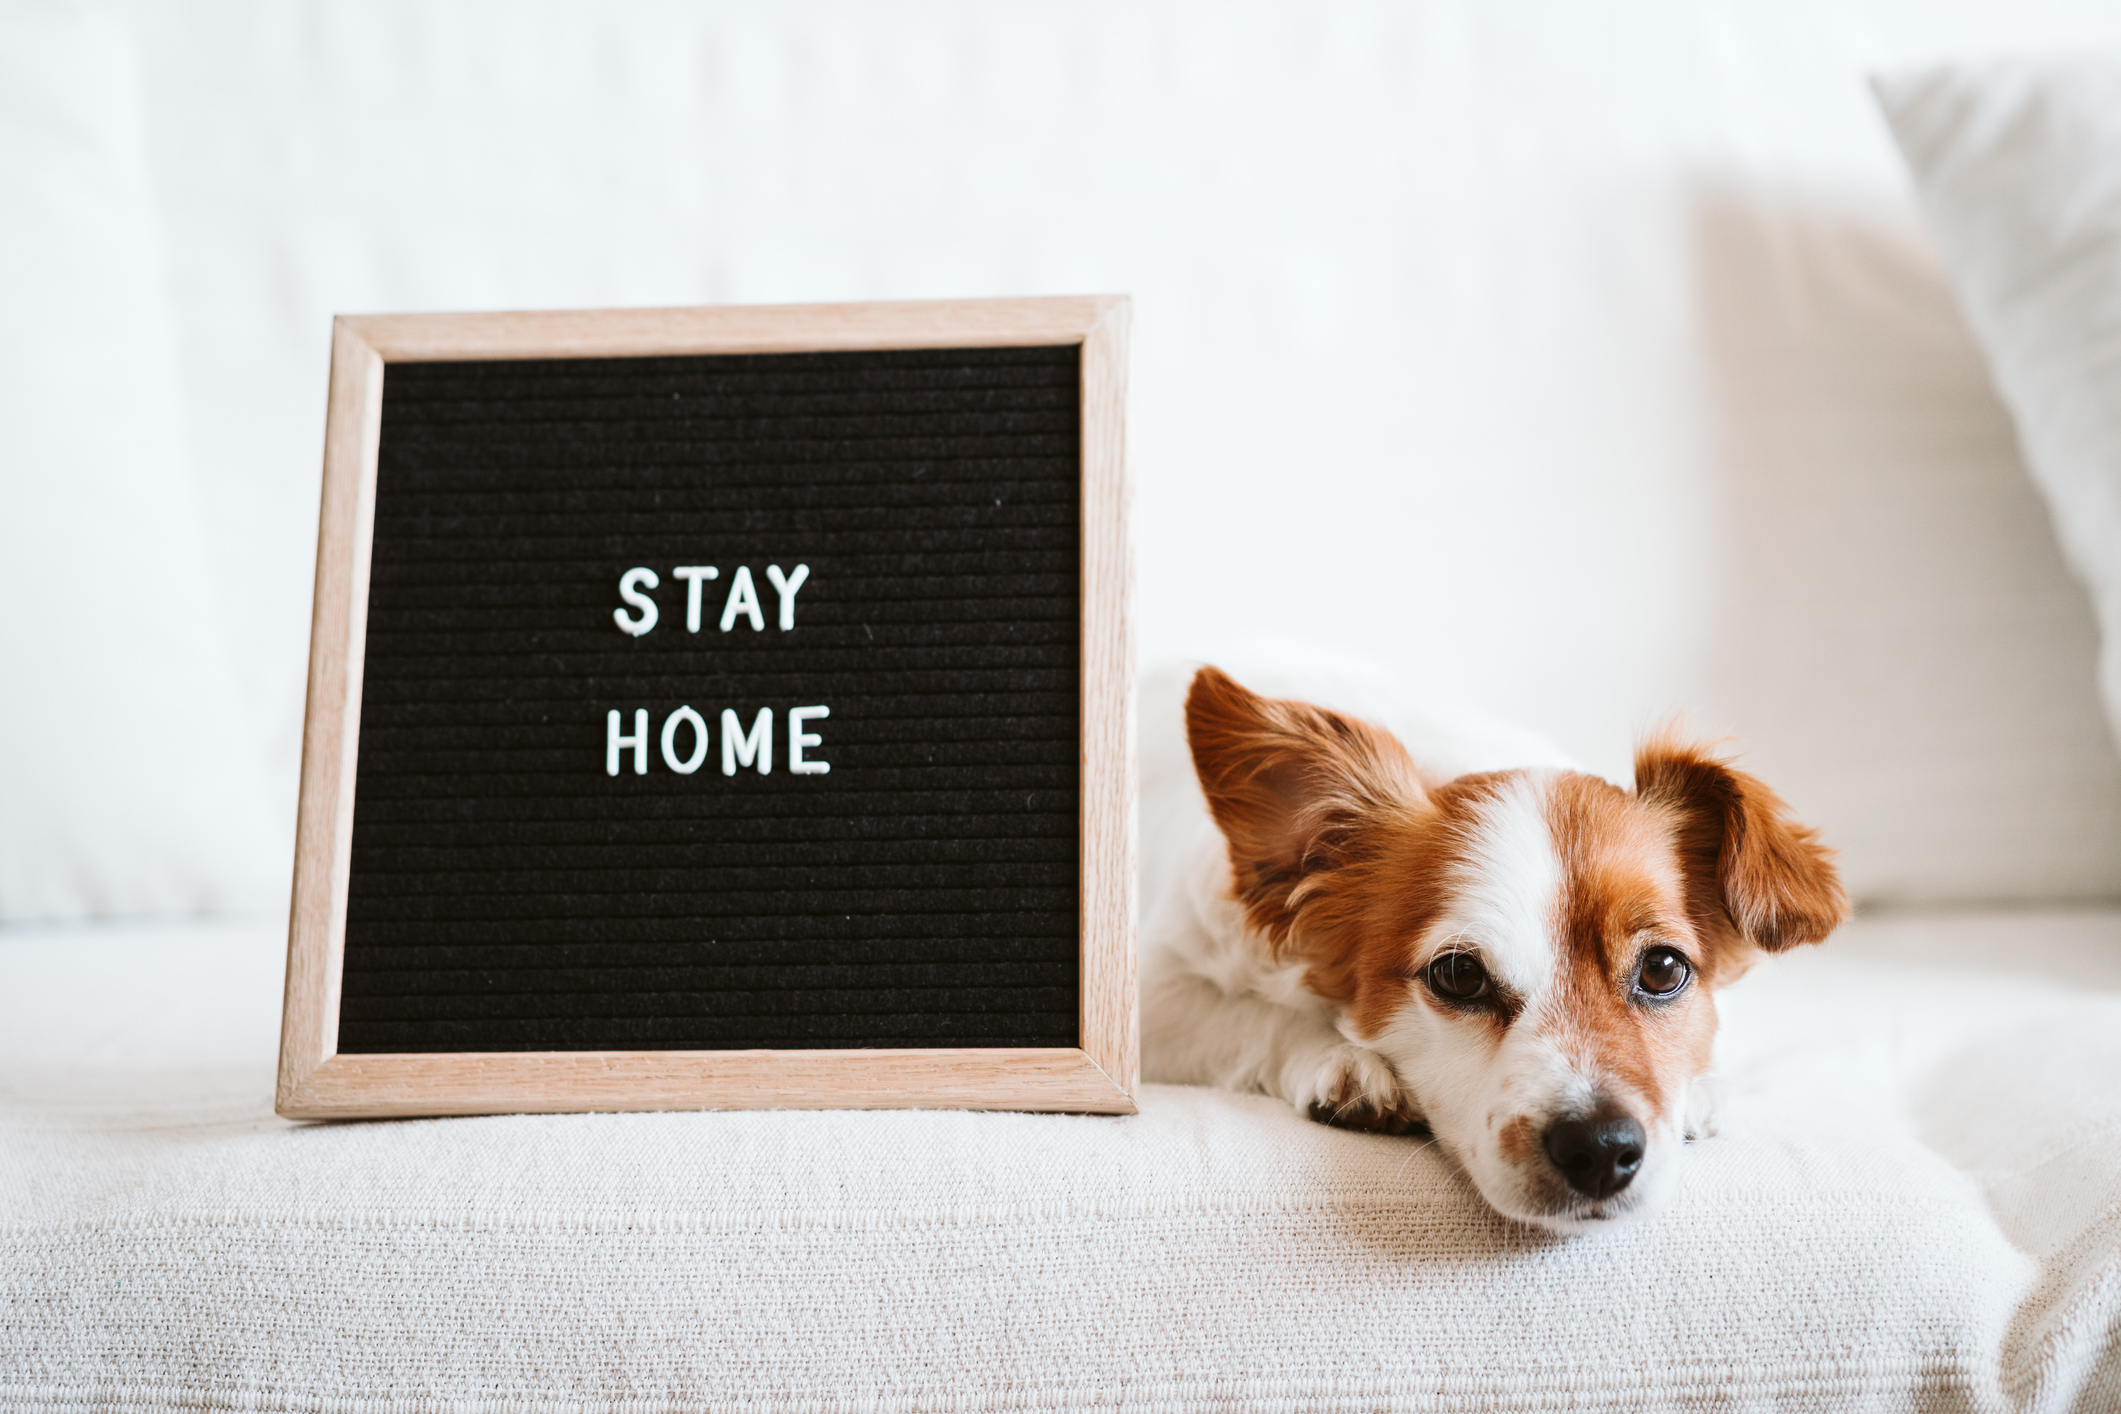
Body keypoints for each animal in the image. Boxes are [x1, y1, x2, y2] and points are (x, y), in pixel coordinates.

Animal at [1136, 665, 1849, 1229]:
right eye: (1457, 976)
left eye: (1663, 969)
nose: (1600, 1147)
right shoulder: (1149, 1002)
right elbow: (1254, 1016)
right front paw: (1343, 1062)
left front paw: (1700, 1089)